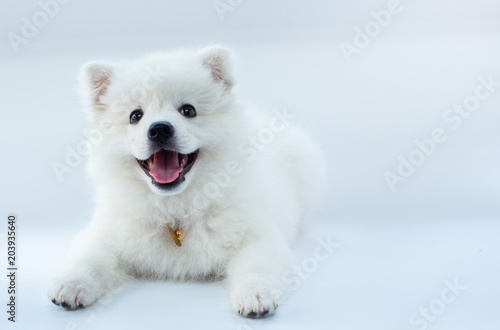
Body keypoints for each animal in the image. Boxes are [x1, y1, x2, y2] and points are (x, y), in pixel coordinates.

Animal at [48, 45, 322, 318]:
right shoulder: (108, 232)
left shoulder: (258, 236)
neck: (175, 210)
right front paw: (71, 285)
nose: (159, 128)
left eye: (188, 110)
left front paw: (255, 296)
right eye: (135, 116)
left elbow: (256, 266)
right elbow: (89, 257)